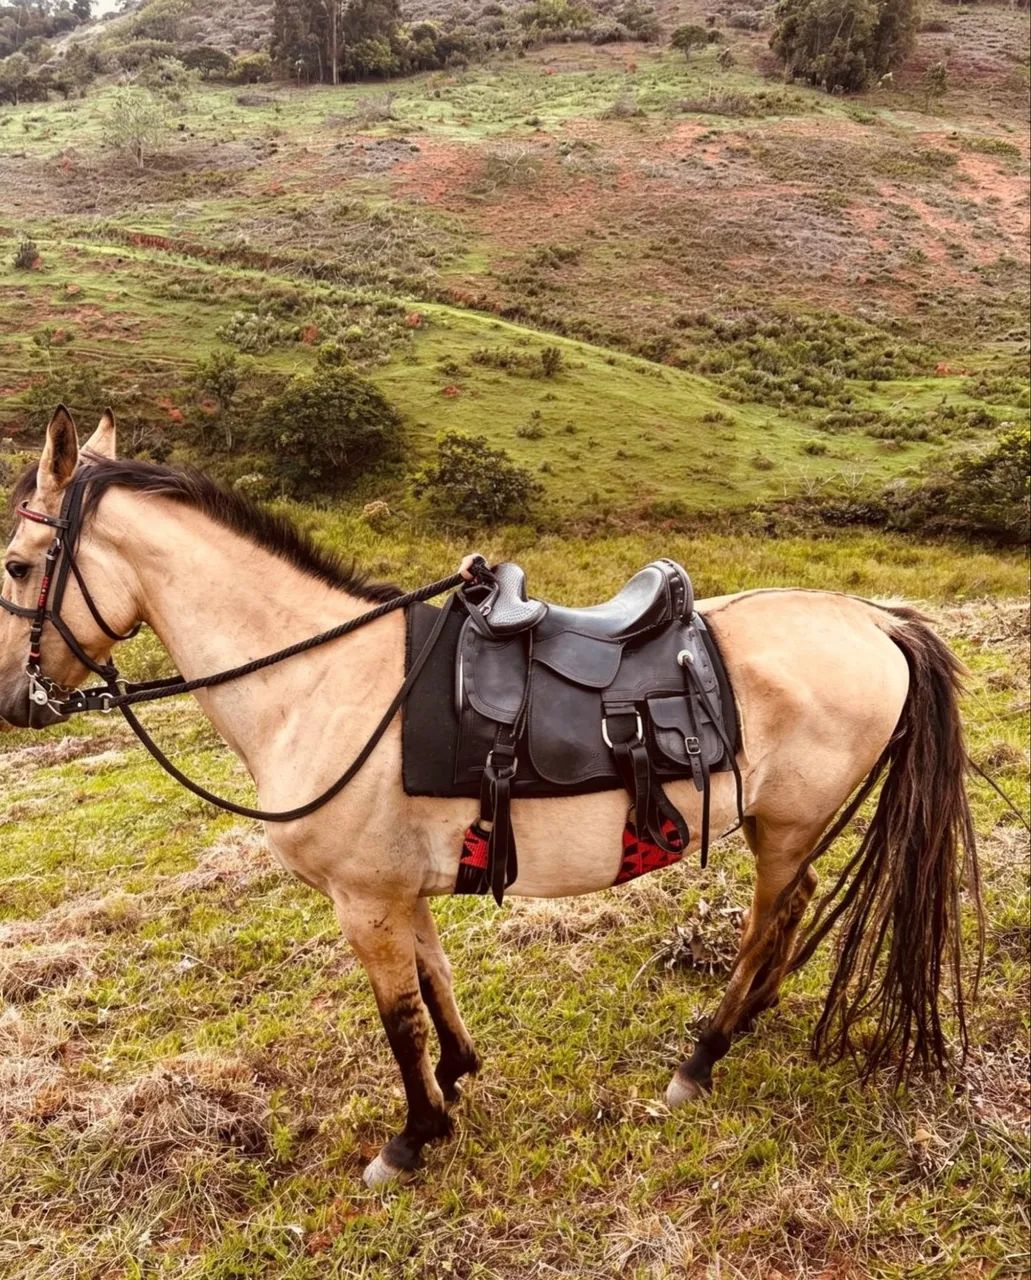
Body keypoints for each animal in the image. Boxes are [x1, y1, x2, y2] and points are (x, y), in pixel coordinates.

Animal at [0, 408, 981, 1188]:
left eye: (15, 565)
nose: (16, 701)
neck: (321, 680)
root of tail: (874, 619)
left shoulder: (364, 902)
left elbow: (398, 1021)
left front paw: (412, 1137)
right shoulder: (399, 894)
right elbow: (434, 985)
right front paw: (458, 1076)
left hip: (783, 827)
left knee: (770, 918)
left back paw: (703, 1053)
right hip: (789, 828)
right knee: (795, 908)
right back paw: (745, 1018)